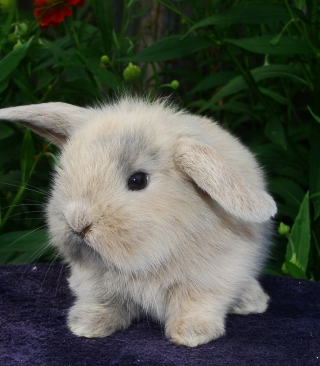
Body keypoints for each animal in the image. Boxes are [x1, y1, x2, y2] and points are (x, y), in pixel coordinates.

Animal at [0, 98, 276, 346]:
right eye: (64, 171)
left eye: (138, 180)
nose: (78, 223)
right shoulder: (96, 282)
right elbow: (103, 302)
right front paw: (86, 325)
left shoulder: (211, 277)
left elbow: (196, 303)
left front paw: (191, 334)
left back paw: (253, 302)